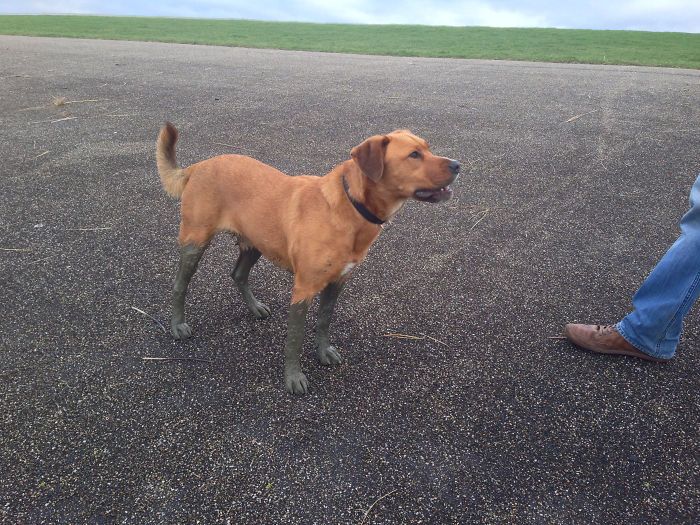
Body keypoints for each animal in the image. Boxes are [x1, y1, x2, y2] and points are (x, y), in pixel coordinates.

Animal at [157, 123, 460, 392]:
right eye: (414, 155)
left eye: (428, 148)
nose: (458, 165)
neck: (350, 206)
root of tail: (198, 166)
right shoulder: (303, 289)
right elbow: (295, 337)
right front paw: (293, 378)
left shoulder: (337, 282)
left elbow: (324, 320)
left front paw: (323, 351)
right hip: (195, 242)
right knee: (179, 285)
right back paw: (177, 325)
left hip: (256, 242)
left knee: (238, 275)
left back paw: (254, 308)